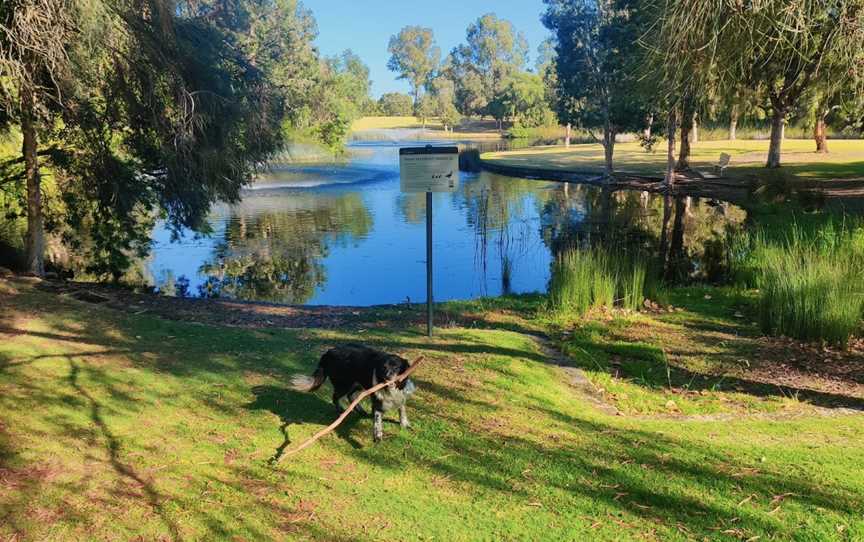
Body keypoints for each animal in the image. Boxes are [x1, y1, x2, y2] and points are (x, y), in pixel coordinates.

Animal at [290, 346, 418, 444]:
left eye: (396, 367)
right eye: (383, 367)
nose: (387, 377)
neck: (391, 388)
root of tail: (328, 352)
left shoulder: (401, 397)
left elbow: (402, 410)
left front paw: (404, 424)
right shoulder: (376, 401)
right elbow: (377, 421)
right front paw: (377, 436)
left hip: (357, 384)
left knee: (350, 396)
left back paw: (360, 411)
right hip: (344, 385)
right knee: (336, 397)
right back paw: (341, 411)